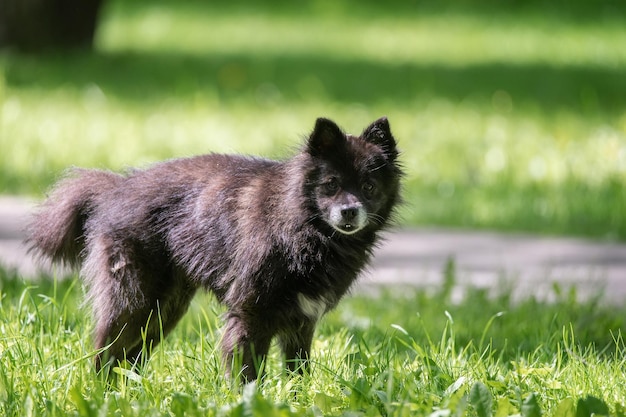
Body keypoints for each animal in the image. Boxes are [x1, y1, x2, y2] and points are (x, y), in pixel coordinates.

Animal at [26, 115, 400, 378]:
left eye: (368, 186)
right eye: (331, 184)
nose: (349, 212)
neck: (304, 228)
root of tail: (115, 187)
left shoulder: (300, 323)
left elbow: (299, 373)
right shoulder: (249, 316)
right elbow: (248, 376)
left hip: (162, 312)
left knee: (127, 359)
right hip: (133, 301)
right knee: (104, 355)